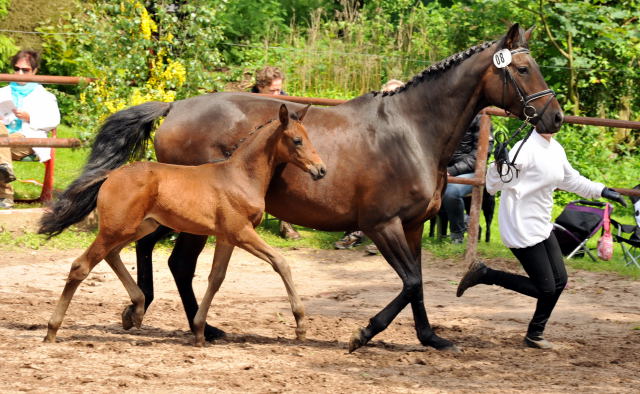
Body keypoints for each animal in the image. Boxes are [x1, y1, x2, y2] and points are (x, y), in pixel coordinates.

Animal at [44, 104, 324, 344]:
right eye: (297, 140)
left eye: (309, 138)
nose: (320, 170)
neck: (240, 177)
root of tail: (112, 174)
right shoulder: (241, 232)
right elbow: (281, 263)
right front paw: (300, 325)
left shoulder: (226, 237)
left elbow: (216, 278)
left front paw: (200, 330)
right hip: (117, 228)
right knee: (81, 266)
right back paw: (52, 331)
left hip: (138, 227)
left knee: (112, 255)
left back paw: (136, 309)